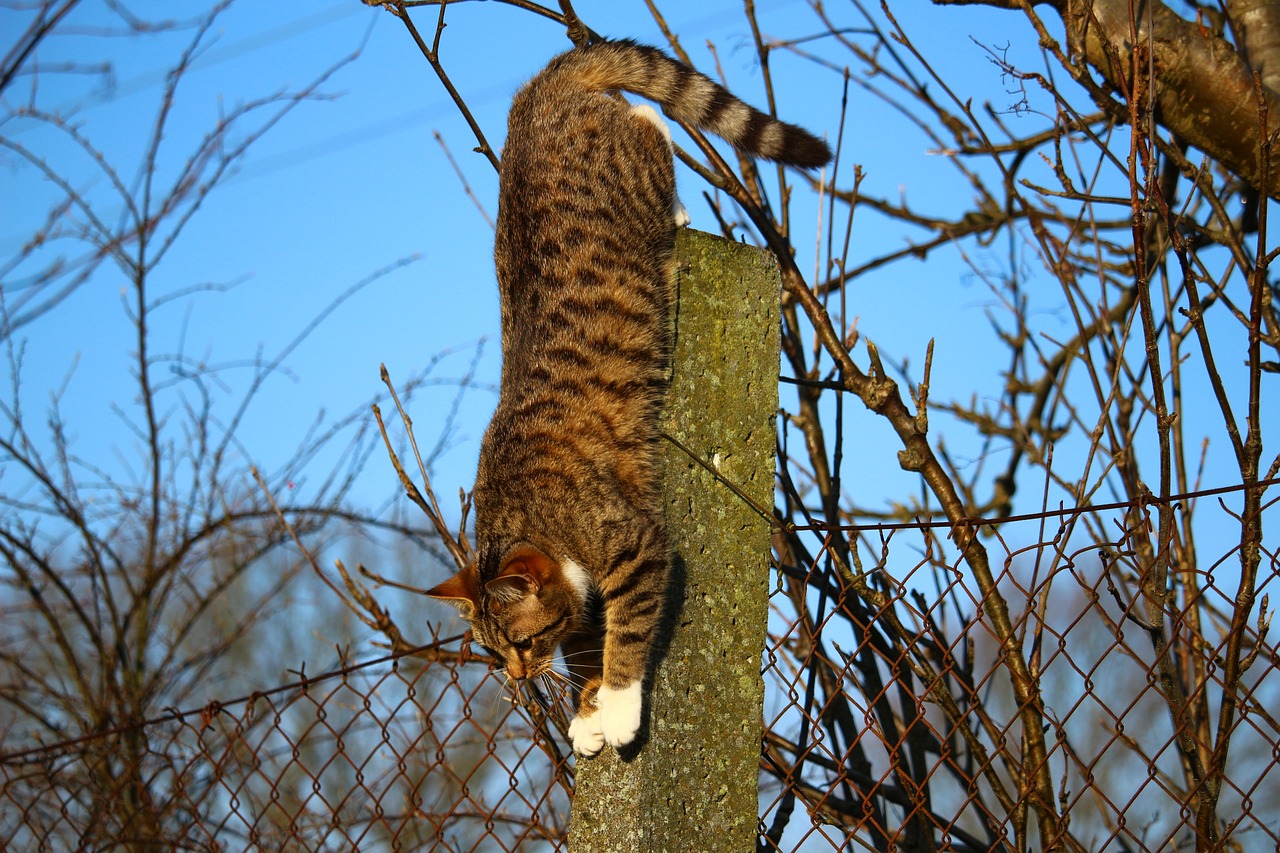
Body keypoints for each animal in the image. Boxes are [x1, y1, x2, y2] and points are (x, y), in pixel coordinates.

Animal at [427, 39, 829, 753]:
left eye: (521, 643)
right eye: (494, 652)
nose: (518, 678)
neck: (521, 514)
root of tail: (539, 93)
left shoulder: (635, 544)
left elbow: (628, 629)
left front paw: (613, 705)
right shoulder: (581, 595)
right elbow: (588, 639)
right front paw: (587, 706)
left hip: (639, 167)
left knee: (649, 123)